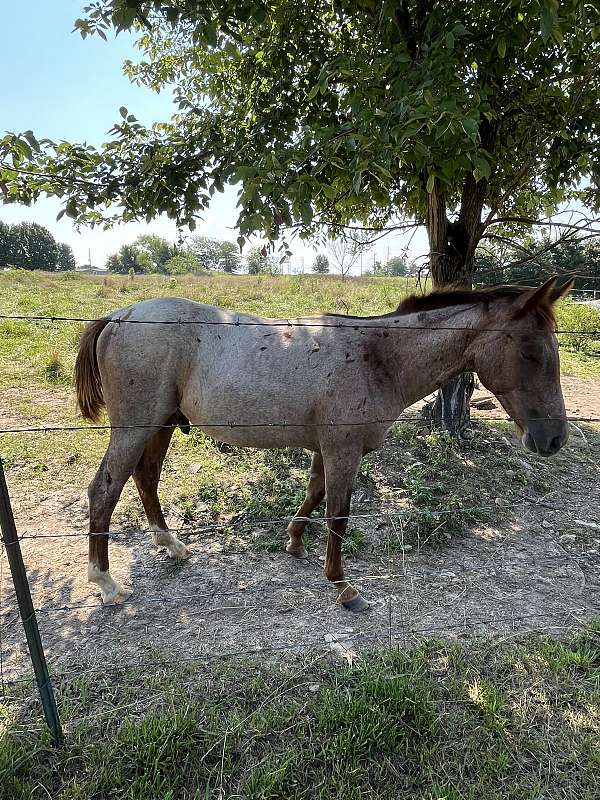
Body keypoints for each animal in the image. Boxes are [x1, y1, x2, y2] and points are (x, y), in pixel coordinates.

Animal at [75, 276, 573, 611]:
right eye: (530, 352)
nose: (553, 438)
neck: (378, 356)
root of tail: (119, 316)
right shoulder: (342, 451)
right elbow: (338, 514)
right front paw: (342, 585)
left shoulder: (324, 449)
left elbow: (313, 496)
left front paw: (294, 542)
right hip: (136, 427)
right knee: (106, 489)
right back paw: (106, 581)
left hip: (160, 425)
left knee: (145, 479)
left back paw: (172, 546)